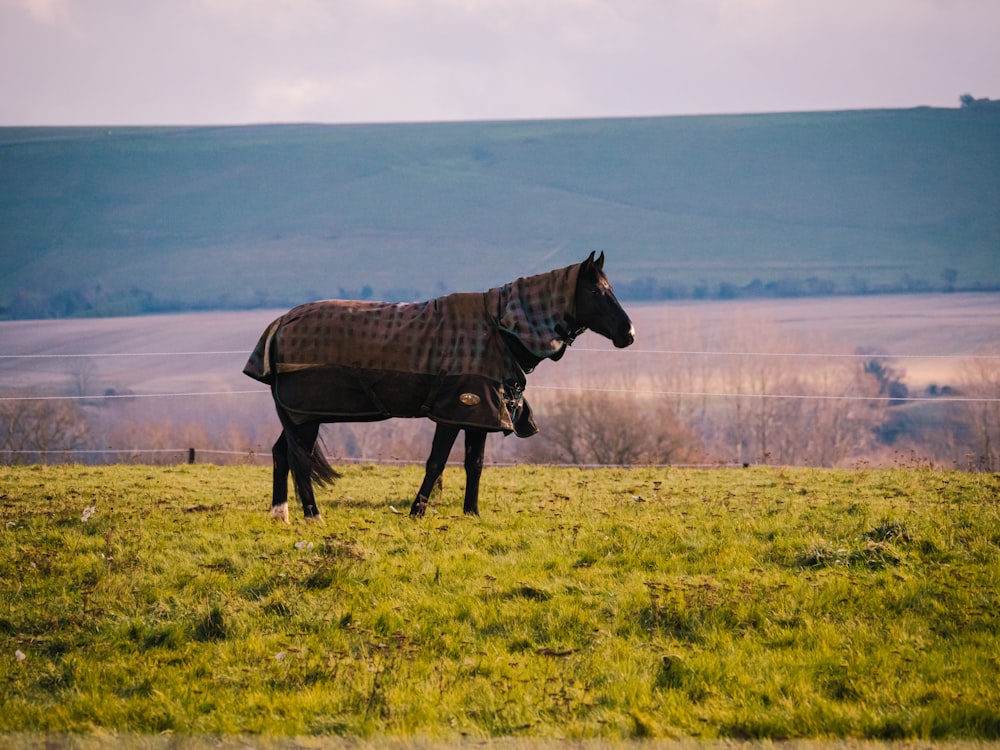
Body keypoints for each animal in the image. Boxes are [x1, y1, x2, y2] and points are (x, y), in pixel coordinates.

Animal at [243, 253, 632, 524]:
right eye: (595, 291)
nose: (628, 334)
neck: (499, 329)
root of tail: (280, 325)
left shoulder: (481, 415)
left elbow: (474, 464)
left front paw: (471, 513)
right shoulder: (453, 411)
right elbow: (436, 463)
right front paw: (417, 511)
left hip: (296, 418)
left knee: (282, 454)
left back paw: (281, 514)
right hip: (306, 418)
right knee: (299, 460)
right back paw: (312, 515)